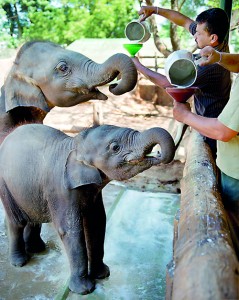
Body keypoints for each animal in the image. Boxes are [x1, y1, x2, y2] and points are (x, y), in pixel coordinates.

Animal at [0, 123, 176, 294]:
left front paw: (103, 275)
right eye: (115, 147)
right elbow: (71, 230)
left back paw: (37, 249)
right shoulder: (60, 189)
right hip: (4, 183)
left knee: (33, 217)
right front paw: (84, 290)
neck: (75, 145)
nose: (158, 153)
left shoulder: (92, 191)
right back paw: (20, 262)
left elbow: (97, 222)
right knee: (17, 221)